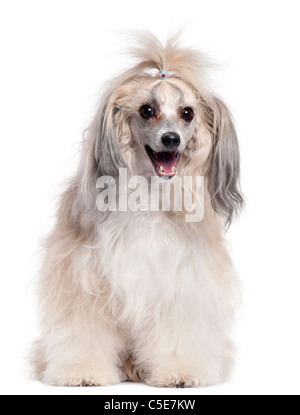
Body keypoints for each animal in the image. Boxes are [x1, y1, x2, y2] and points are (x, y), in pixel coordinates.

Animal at [32, 34, 244, 388]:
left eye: (187, 113)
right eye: (147, 110)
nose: (171, 139)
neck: (148, 200)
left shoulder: (180, 284)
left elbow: (177, 334)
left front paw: (180, 372)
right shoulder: (84, 283)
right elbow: (83, 331)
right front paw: (83, 371)